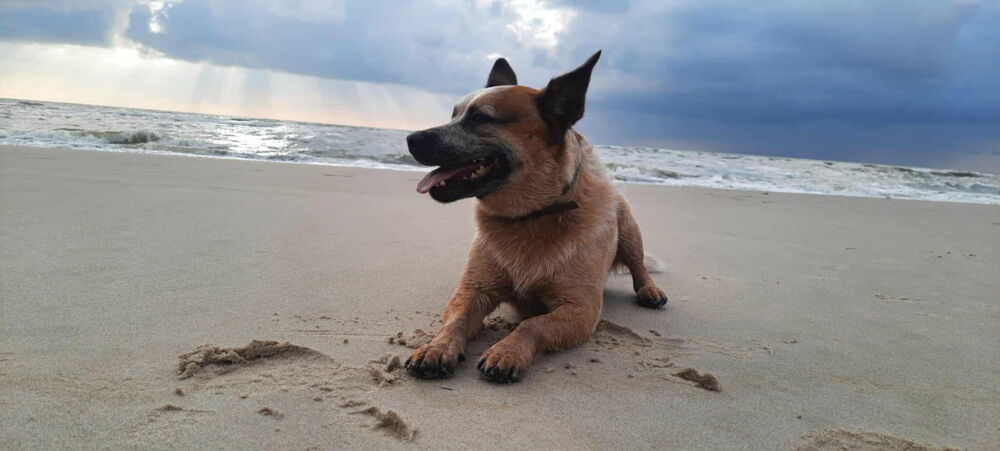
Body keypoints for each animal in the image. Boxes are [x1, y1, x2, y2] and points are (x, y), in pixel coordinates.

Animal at [404, 50, 668, 383]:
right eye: (454, 114)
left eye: (480, 118)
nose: (410, 138)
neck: (531, 216)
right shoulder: (472, 290)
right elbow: (456, 321)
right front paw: (437, 347)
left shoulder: (580, 309)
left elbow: (533, 324)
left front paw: (507, 351)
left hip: (630, 228)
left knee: (638, 265)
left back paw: (650, 289)